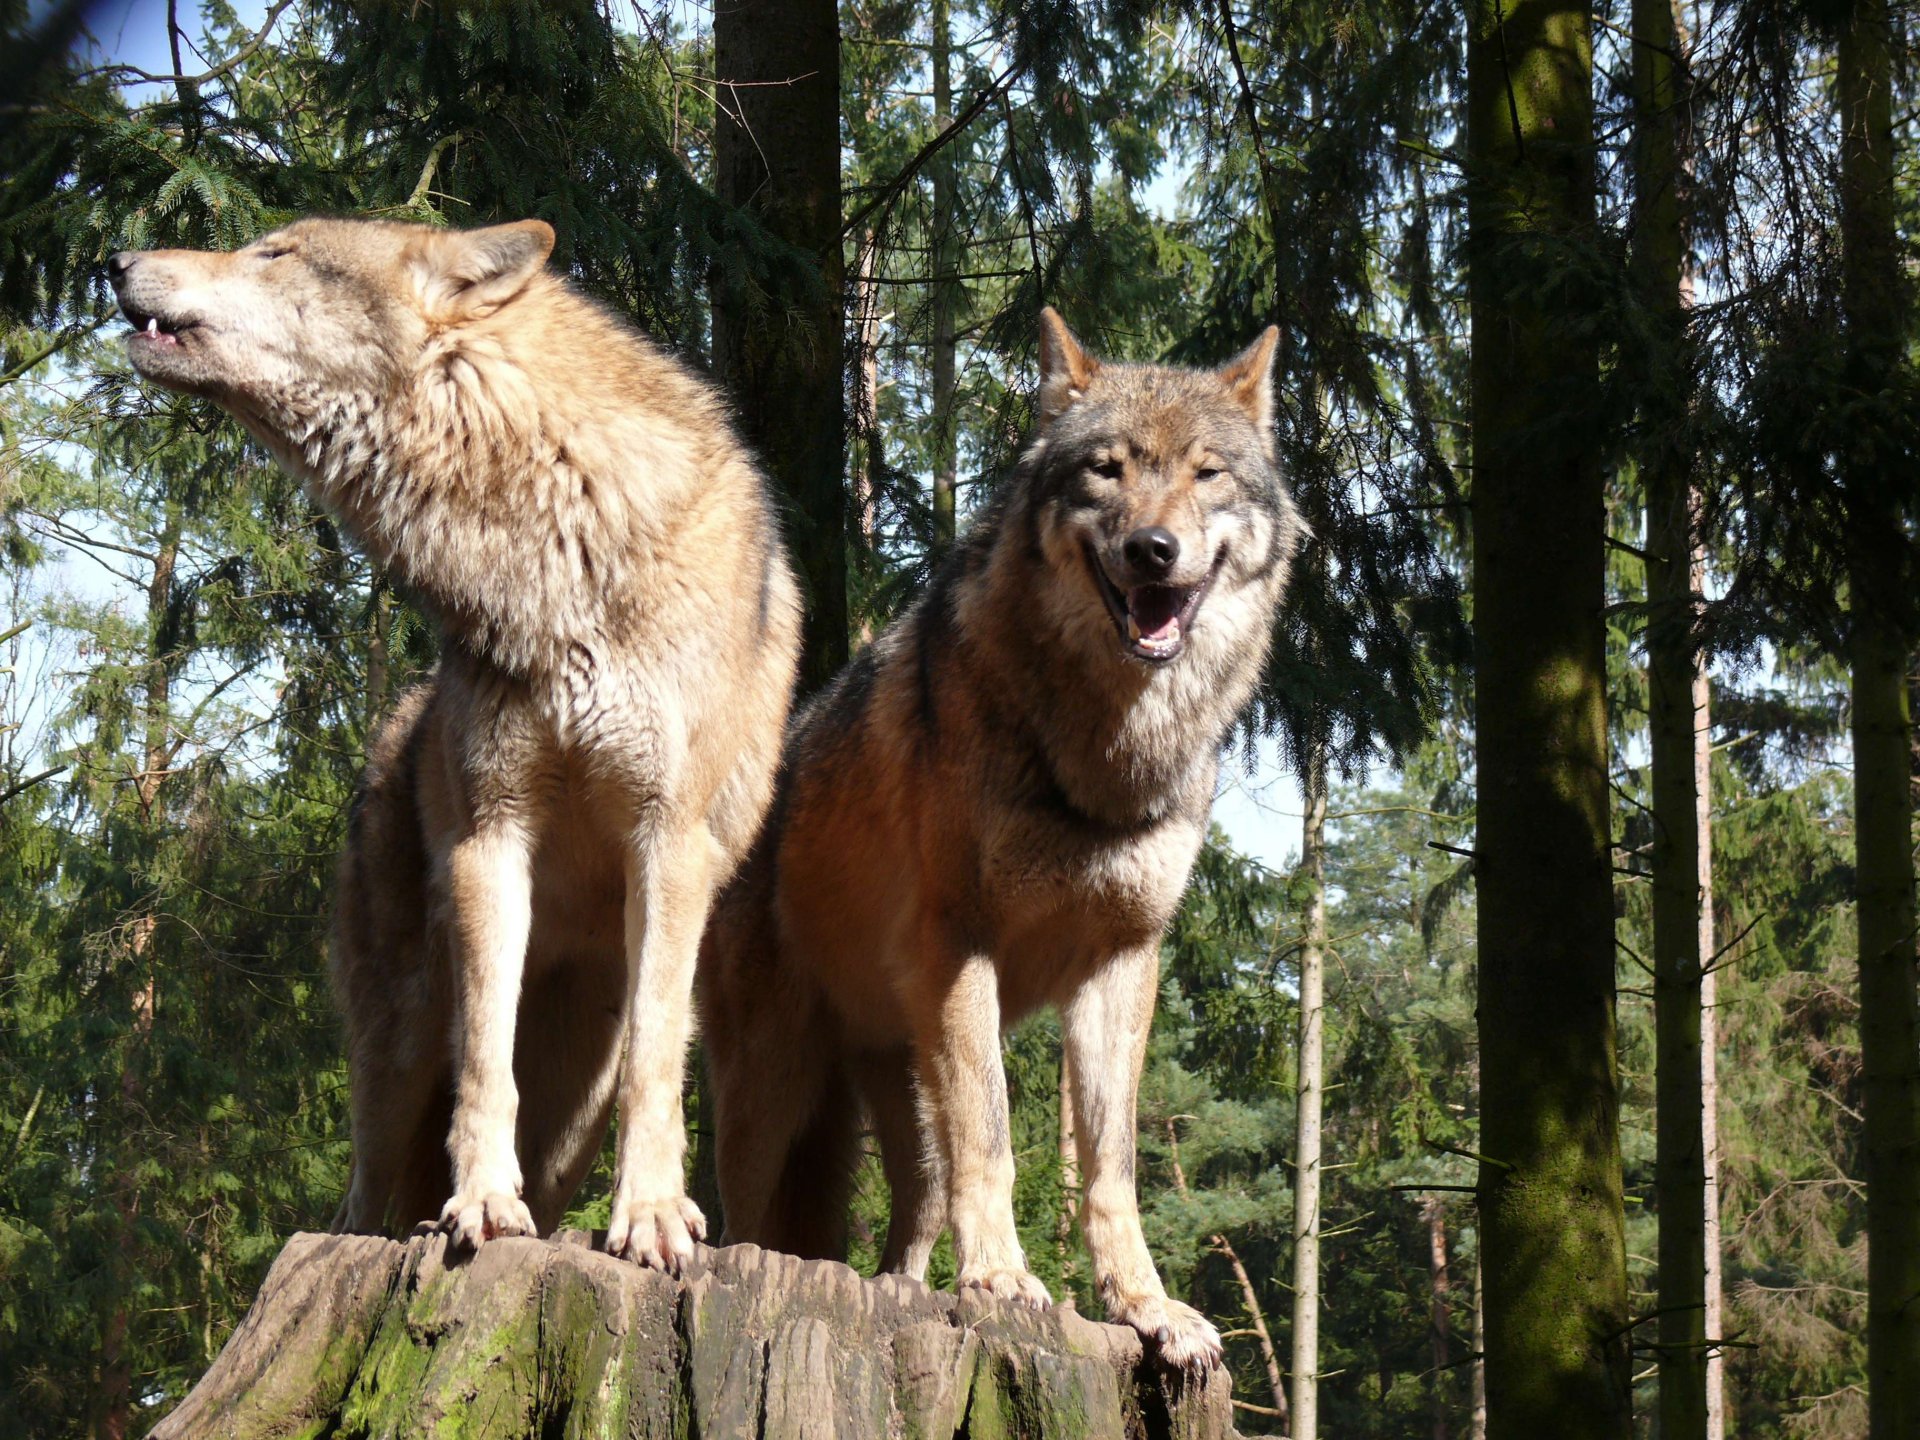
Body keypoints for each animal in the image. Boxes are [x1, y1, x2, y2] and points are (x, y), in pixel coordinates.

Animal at [110, 217, 801, 1270]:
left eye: (277, 254)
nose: (115, 261)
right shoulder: (490, 836)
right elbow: (485, 1055)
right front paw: (479, 1201)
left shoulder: (670, 842)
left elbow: (656, 1057)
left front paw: (650, 1214)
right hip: (396, 1050)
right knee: (365, 1192)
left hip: (572, 1112)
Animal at [699, 309, 1300, 1365]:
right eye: (1106, 469)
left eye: (1206, 474)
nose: (1153, 549)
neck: (1104, 752)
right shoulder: (960, 945)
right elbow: (998, 1137)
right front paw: (1001, 1281)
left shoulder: (1122, 961)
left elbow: (1110, 1167)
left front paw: (1146, 1307)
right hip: (768, 1090)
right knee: (744, 1212)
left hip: (894, 1093)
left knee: (910, 1222)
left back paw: (901, 1290)